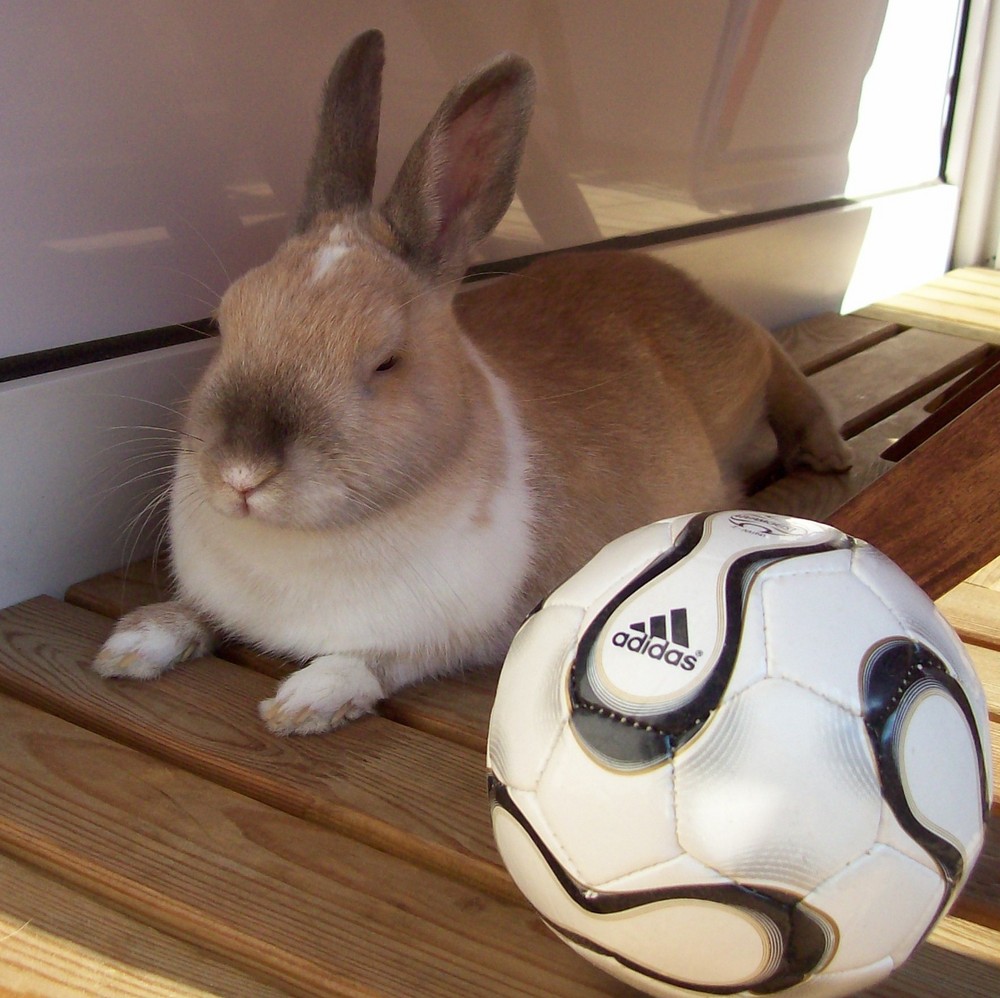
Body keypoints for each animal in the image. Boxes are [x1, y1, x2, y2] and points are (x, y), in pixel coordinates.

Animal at [92, 29, 852, 736]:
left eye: (386, 361)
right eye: (225, 323)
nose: (242, 475)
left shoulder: (455, 633)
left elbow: (371, 660)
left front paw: (306, 702)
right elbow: (195, 612)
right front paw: (133, 643)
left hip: (733, 371)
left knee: (773, 356)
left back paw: (826, 450)